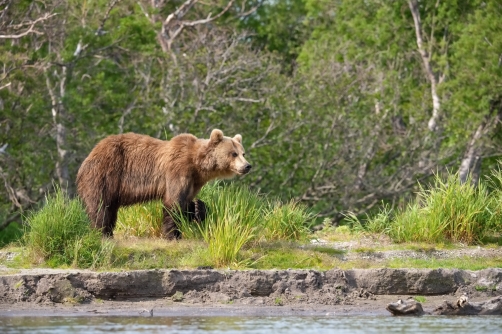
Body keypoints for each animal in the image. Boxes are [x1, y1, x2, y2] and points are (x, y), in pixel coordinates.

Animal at [75, 129, 251, 239]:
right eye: (233, 153)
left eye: (243, 153)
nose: (247, 166)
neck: (197, 164)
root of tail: (91, 154)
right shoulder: (178, 170)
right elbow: (173, 203)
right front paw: (173, 234)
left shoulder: (193, 182)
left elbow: (185, 203)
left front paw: (197, 208)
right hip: (105, 174)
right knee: (100, 206)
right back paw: (101, 232)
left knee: (110, 208)